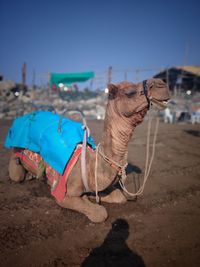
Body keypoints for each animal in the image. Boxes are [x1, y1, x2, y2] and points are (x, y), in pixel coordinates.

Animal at [6, 78, 169, 223]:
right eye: (129, 92)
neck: (92, 163)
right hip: (17, 157)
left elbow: (119, 197)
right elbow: (100, 213)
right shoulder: (62, 193)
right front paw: (89, 200)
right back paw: (27, 175)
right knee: (16, 172)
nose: (162, 84)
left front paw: (92, 196)